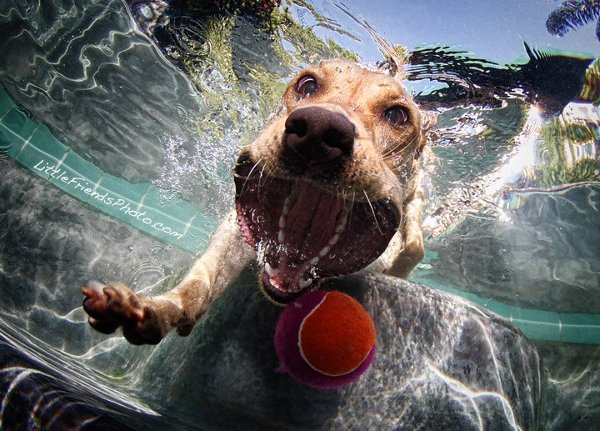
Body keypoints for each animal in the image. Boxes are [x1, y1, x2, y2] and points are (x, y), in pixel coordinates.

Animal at [82, 59, 428, 346]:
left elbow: (414, 244)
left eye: (397, 115)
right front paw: (157, 310)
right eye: (307, 85)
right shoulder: (235, 230)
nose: (318, 130)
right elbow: (201, 281)